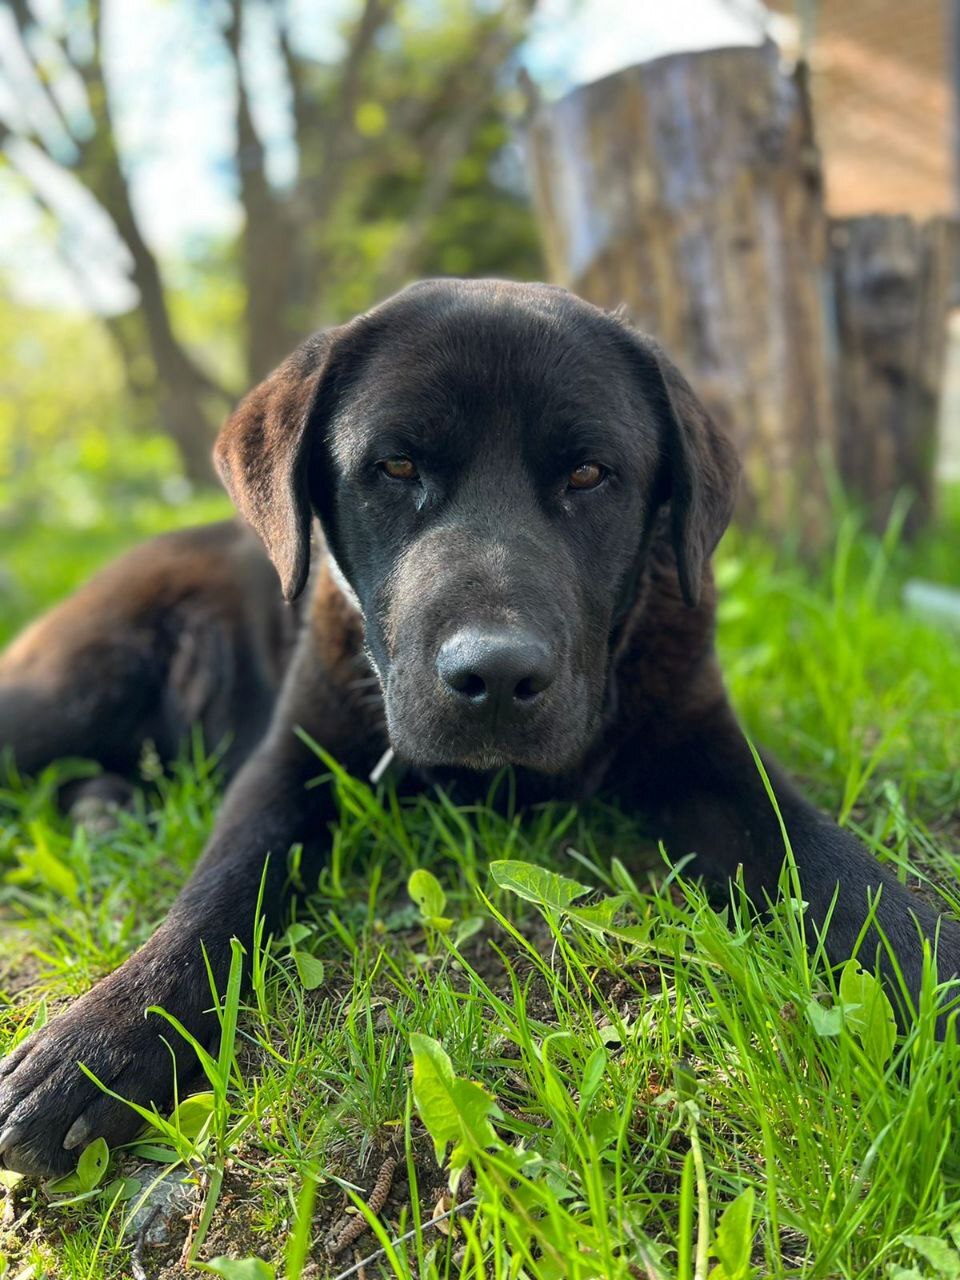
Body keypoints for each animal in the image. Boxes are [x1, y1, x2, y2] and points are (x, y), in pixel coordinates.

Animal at [0, 277, 957, 1172]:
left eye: (588, 474)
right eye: (394, 467)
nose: (494, 675)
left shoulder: (704, 747)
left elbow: (830, 860)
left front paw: (933, 963)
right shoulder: (295, 756)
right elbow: (223, 886)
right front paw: (100, 1043)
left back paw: (104, 808)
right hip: (70, 690)